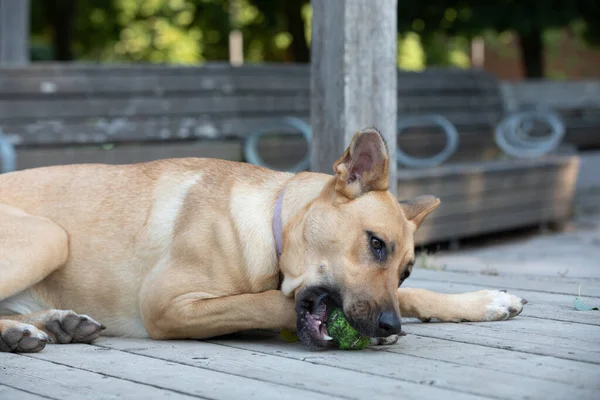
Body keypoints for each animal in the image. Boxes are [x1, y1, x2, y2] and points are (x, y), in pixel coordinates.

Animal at [0, 129, 524, 354]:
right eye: (375, 243)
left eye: (407, 270)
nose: (390, 327)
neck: (271, 229)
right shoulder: (167, 305)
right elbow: (264, 301)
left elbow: (417, 296)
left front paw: (485, 301)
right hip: (50, 235)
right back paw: (24, 331)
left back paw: (52, 323)